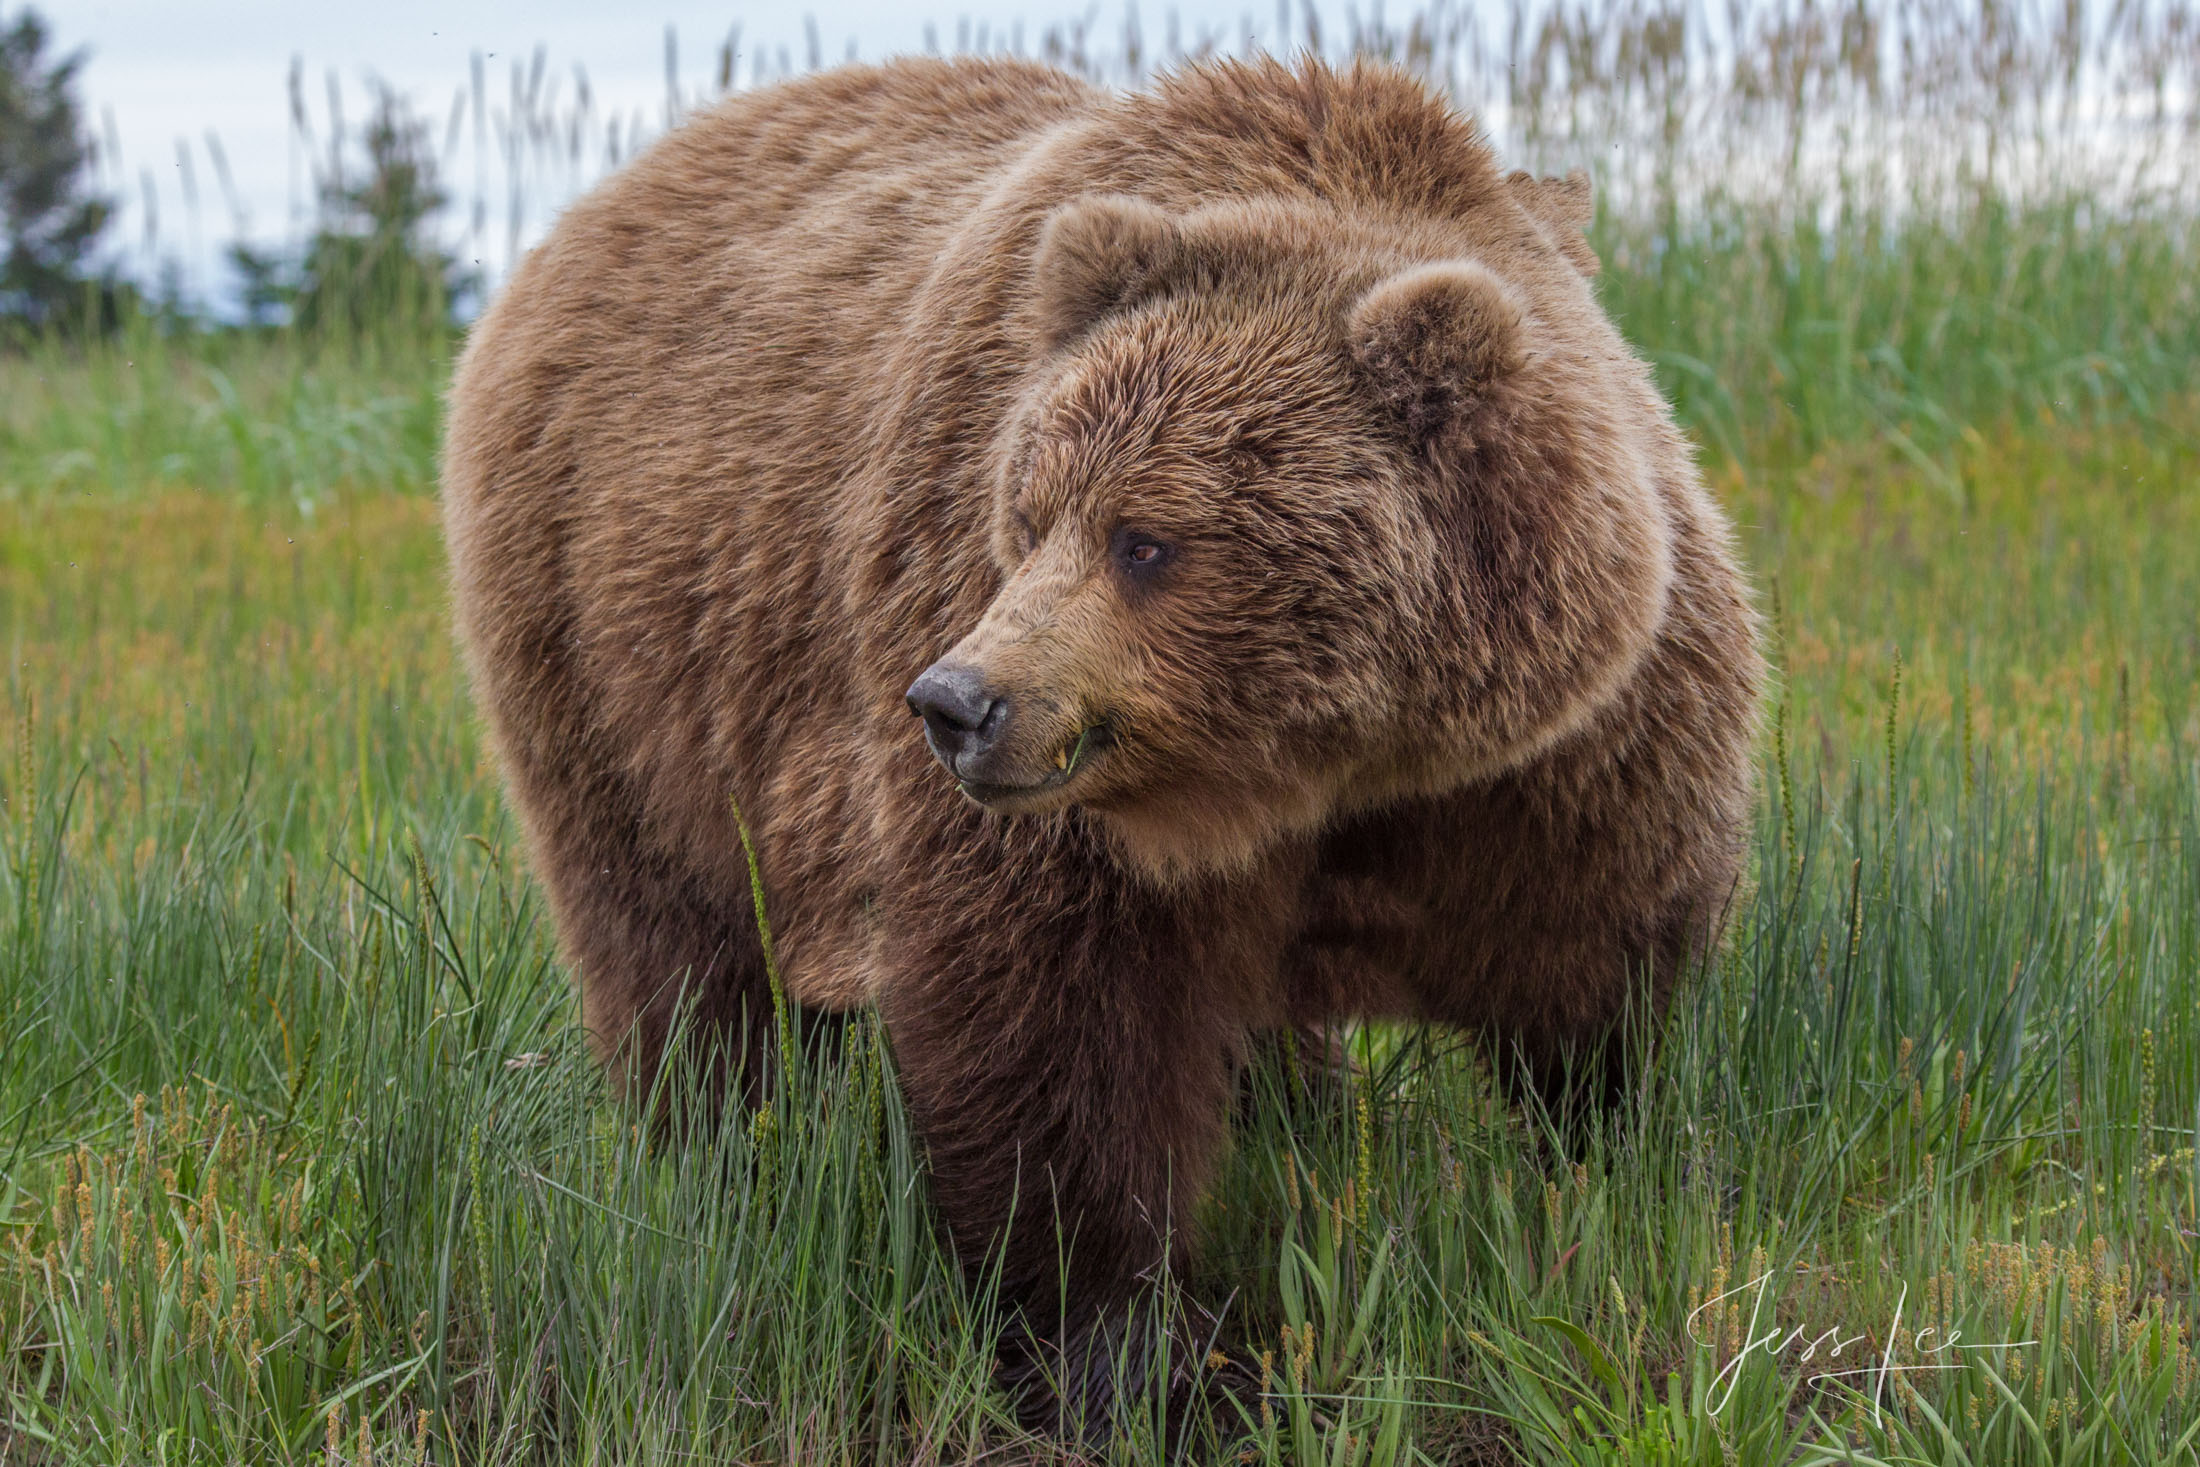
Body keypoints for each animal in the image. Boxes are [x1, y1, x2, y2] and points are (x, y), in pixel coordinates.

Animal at [437, 54, 1760, 1434]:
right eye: (1028, 516)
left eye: (1146, 539)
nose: (955, 701)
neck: (1329, 768)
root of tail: (592, 210)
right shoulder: (1062, 821)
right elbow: (1051, 1036)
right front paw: (1125, 1353)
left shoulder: (1561, 764)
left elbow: (1599, 987)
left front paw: (1610, 1179)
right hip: (616, 667)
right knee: (680, 969)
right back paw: (718, 1167)